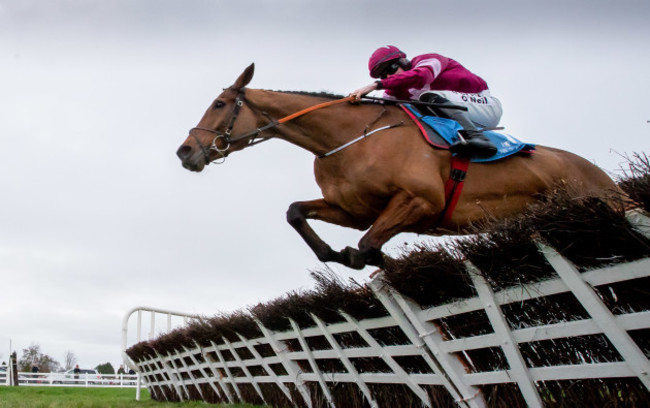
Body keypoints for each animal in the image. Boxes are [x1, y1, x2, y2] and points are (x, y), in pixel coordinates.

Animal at [175, 63, 616, 270]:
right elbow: (296, 213)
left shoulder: (419, 201)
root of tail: (600, 173)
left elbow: (367, 247)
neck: (348, 139)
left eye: (219, 104)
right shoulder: (354, 210)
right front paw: (332, 253)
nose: (184, 151)